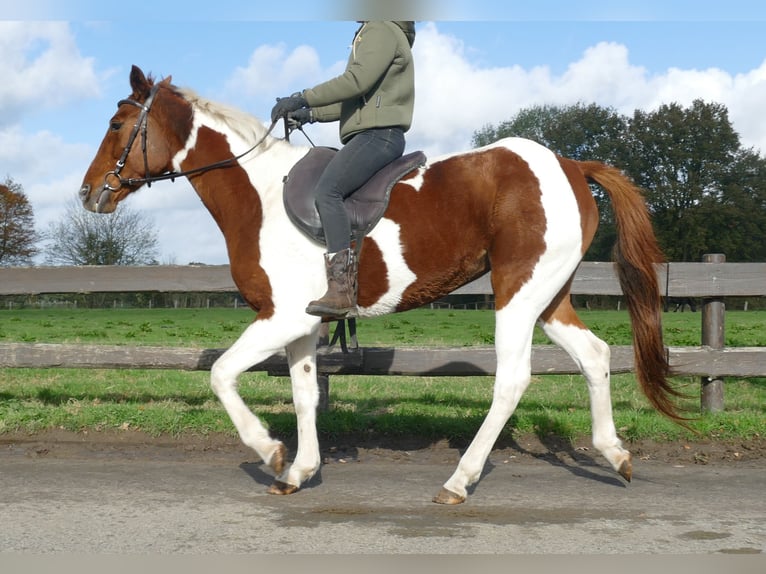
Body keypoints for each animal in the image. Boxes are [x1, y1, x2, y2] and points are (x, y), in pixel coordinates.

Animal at [76, 65, 684, 504]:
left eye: (115, 126)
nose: (88, 193)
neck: (260, 195)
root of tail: (569, 164)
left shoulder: (281, 317)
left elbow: (222, 374)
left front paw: (270, 452)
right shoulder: (302, 326)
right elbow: (303, 395)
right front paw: (299, 470)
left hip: (518, 294)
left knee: (512, 381)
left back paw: (459, 481)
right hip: (548, 297)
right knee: (595, 354)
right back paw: (614, 455)